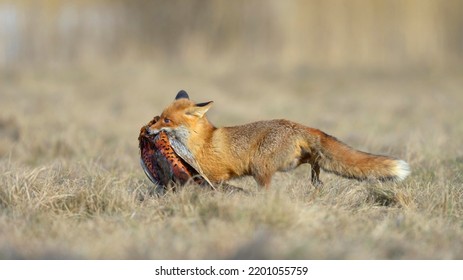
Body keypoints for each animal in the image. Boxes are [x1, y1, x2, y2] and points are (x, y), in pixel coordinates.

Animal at [148, 91, 410, 189]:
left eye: (166, 121)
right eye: (159, 117)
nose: (149, 129)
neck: (202, 141)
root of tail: (296, 124)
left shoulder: (215, 174)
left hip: (261, 167)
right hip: (289, 162)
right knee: (313, 160)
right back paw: (316, 180)